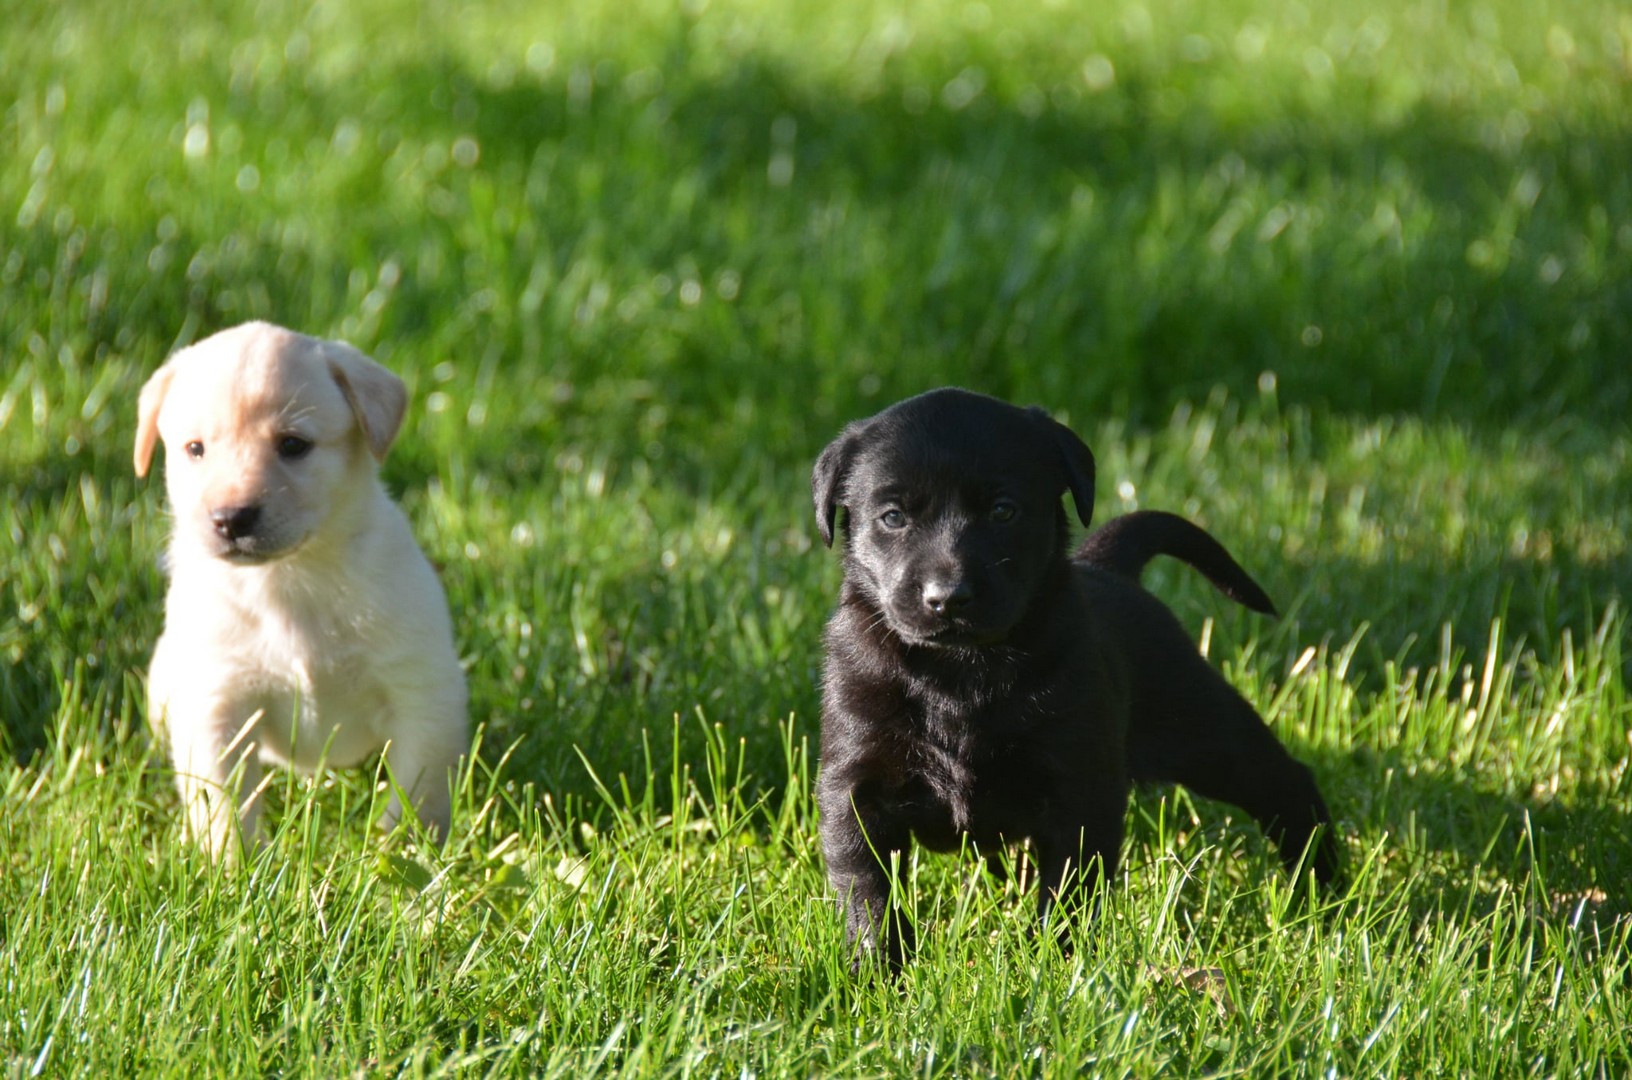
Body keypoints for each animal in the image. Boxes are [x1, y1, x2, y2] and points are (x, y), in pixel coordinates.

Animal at [134, 321, 467, 858]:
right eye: (195, 449)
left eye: (293, 445)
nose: (231, 519)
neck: (290, 580)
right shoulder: (217, 703)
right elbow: (222, 803)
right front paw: (232, 867)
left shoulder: (421, 695)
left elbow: (417, 795)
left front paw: (402, 858)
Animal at [812, 387, 1338, 967]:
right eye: (892, 517)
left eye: (1003, 511)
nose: (947, 598)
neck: (959, 672)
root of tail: (1109, 567)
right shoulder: (857, 782)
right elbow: (867, 883)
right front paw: (877, 964)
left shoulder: (1079, 782)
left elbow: (1070, 882)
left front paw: (1056, 959)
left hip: (1202, 728)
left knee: (1282, 779)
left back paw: (1322, 885)